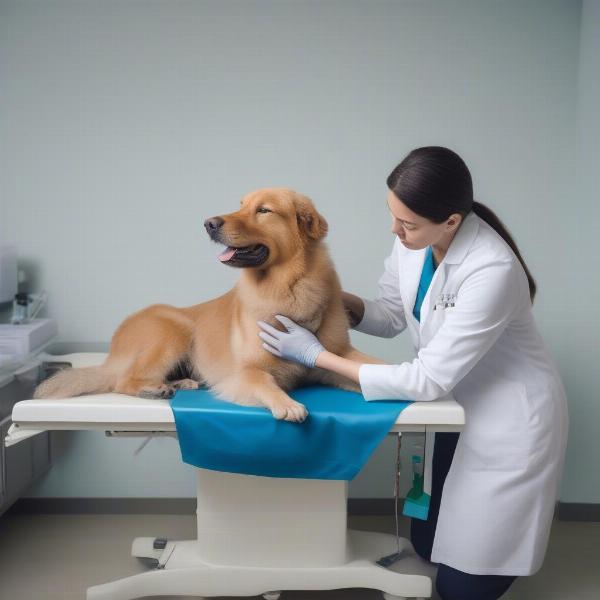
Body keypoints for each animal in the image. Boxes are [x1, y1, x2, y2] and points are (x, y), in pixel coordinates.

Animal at [32, 188, 382, 422]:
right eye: (241, 205)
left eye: (263, 210)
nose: (209, 223)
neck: (289, 285)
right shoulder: (246, 372)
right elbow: (264, 382)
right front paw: (287, 403)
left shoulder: (336, 355)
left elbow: (367, 367)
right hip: (173, 330)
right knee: (122, 381)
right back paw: (156, 389)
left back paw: (177, 382)